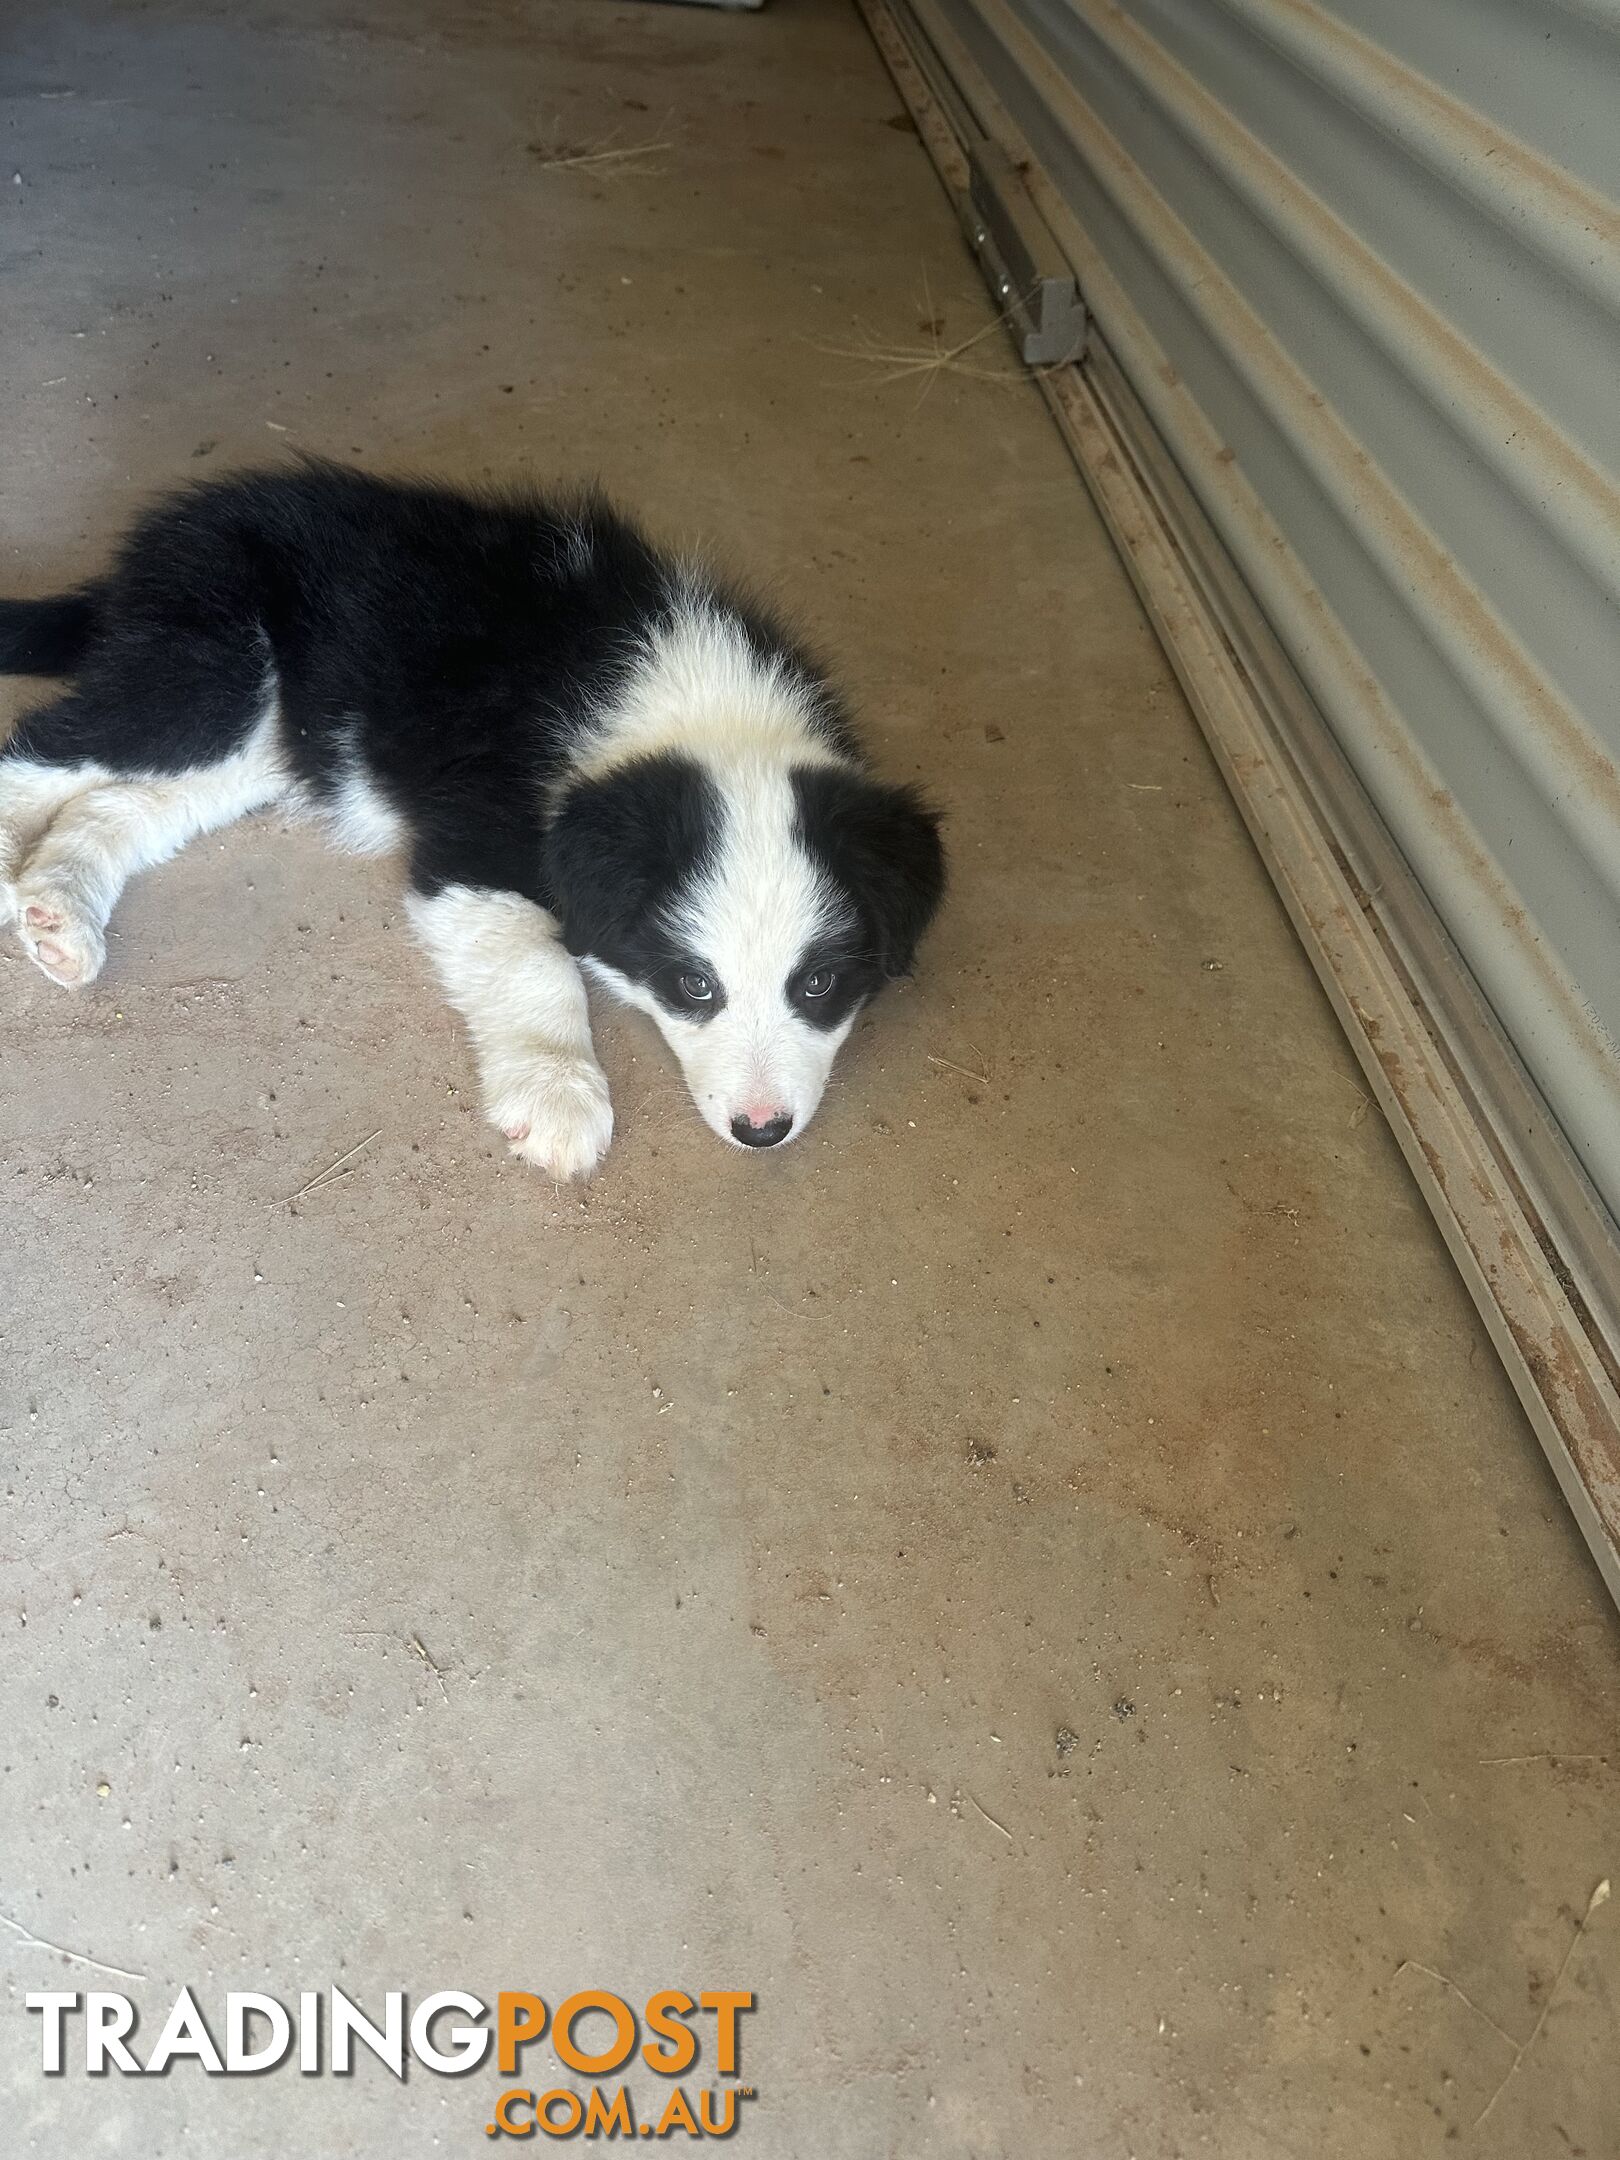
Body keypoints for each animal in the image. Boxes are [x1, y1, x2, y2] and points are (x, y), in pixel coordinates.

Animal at [0, 460, 946, 1183]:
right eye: (692, 986)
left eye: (818, 984)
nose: (762, 1129)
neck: (690, 702)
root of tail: (156, 543)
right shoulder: (475, 843)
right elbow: (536, 963)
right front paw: (558, 1097)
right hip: (210, 669)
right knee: (40, 751)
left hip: (263, 738)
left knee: (117, 800)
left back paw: (58, 917)